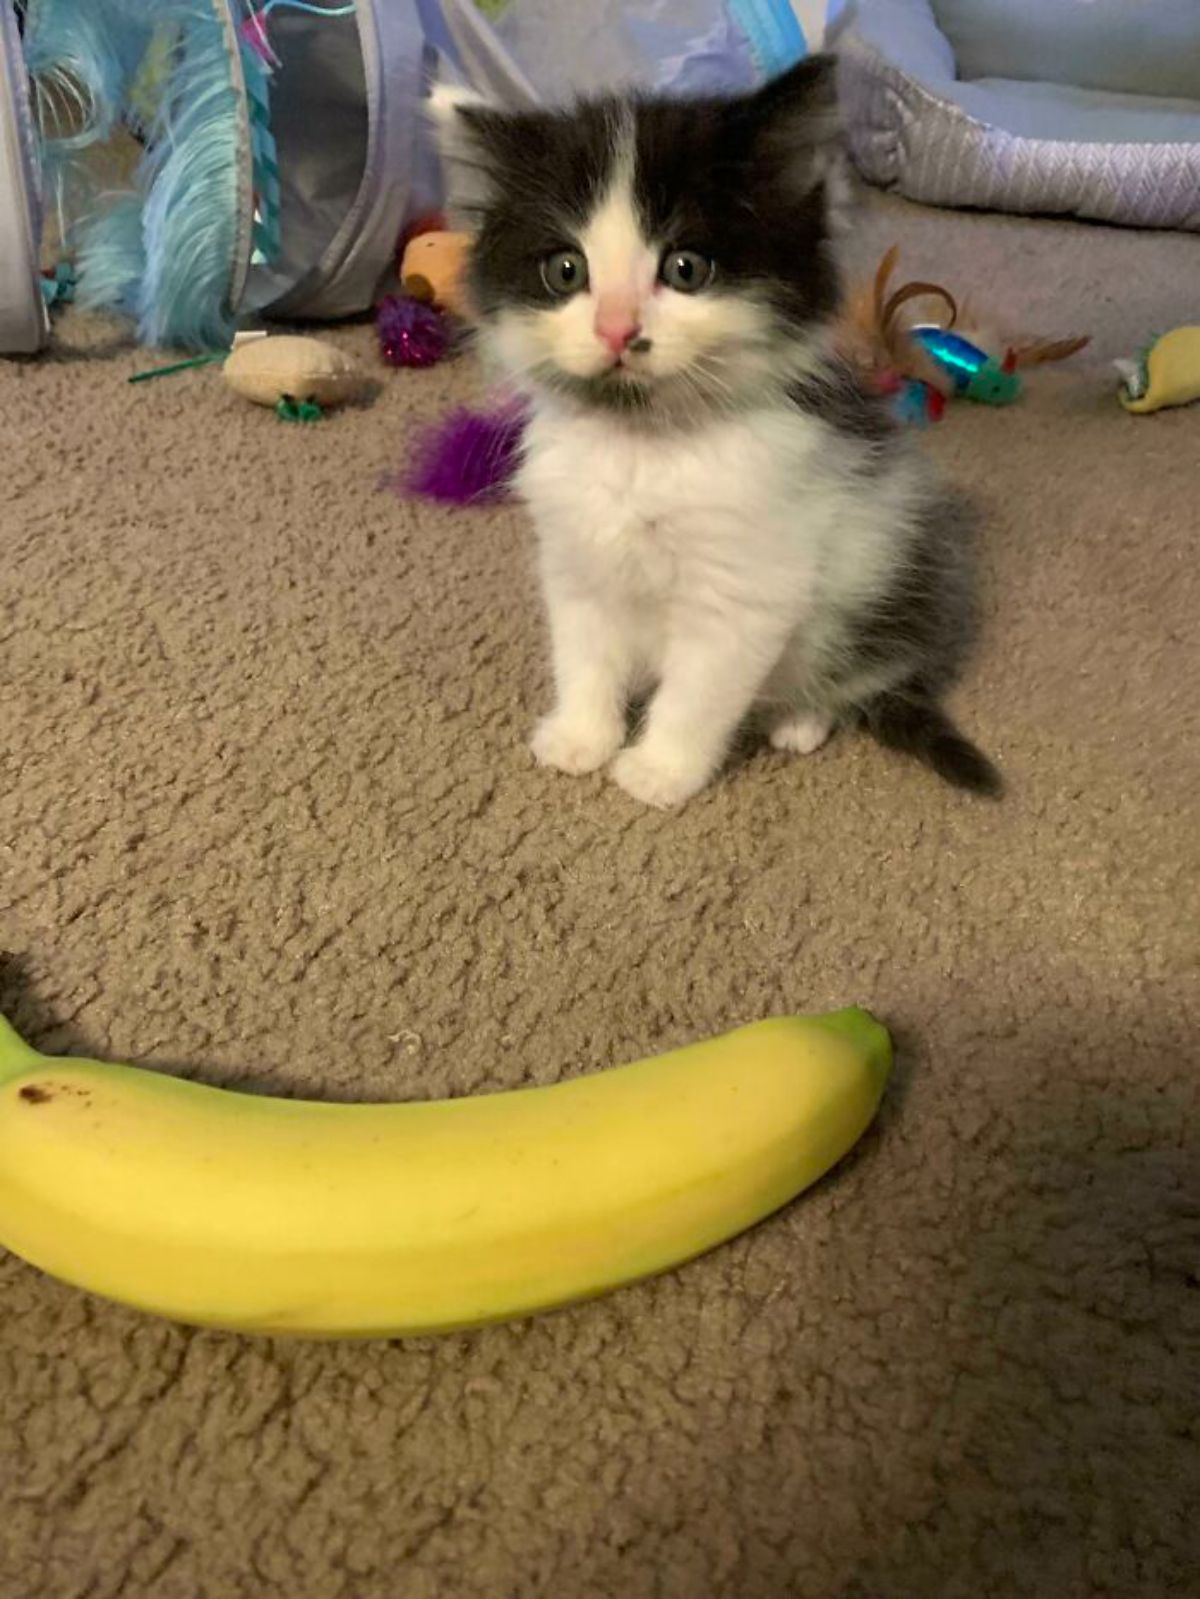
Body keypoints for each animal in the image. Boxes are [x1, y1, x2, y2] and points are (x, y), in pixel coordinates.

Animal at [438, 59, 998, 812]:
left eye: (685, 269)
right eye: (565, 271)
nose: (617, 329)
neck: (644, 445)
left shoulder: (745, 582)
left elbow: (696, 693)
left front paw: (660, 771)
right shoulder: (575, 557)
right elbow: (584, 653)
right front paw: (582, 736)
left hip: (880, 584)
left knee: (849, 674)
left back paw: (798, 719)